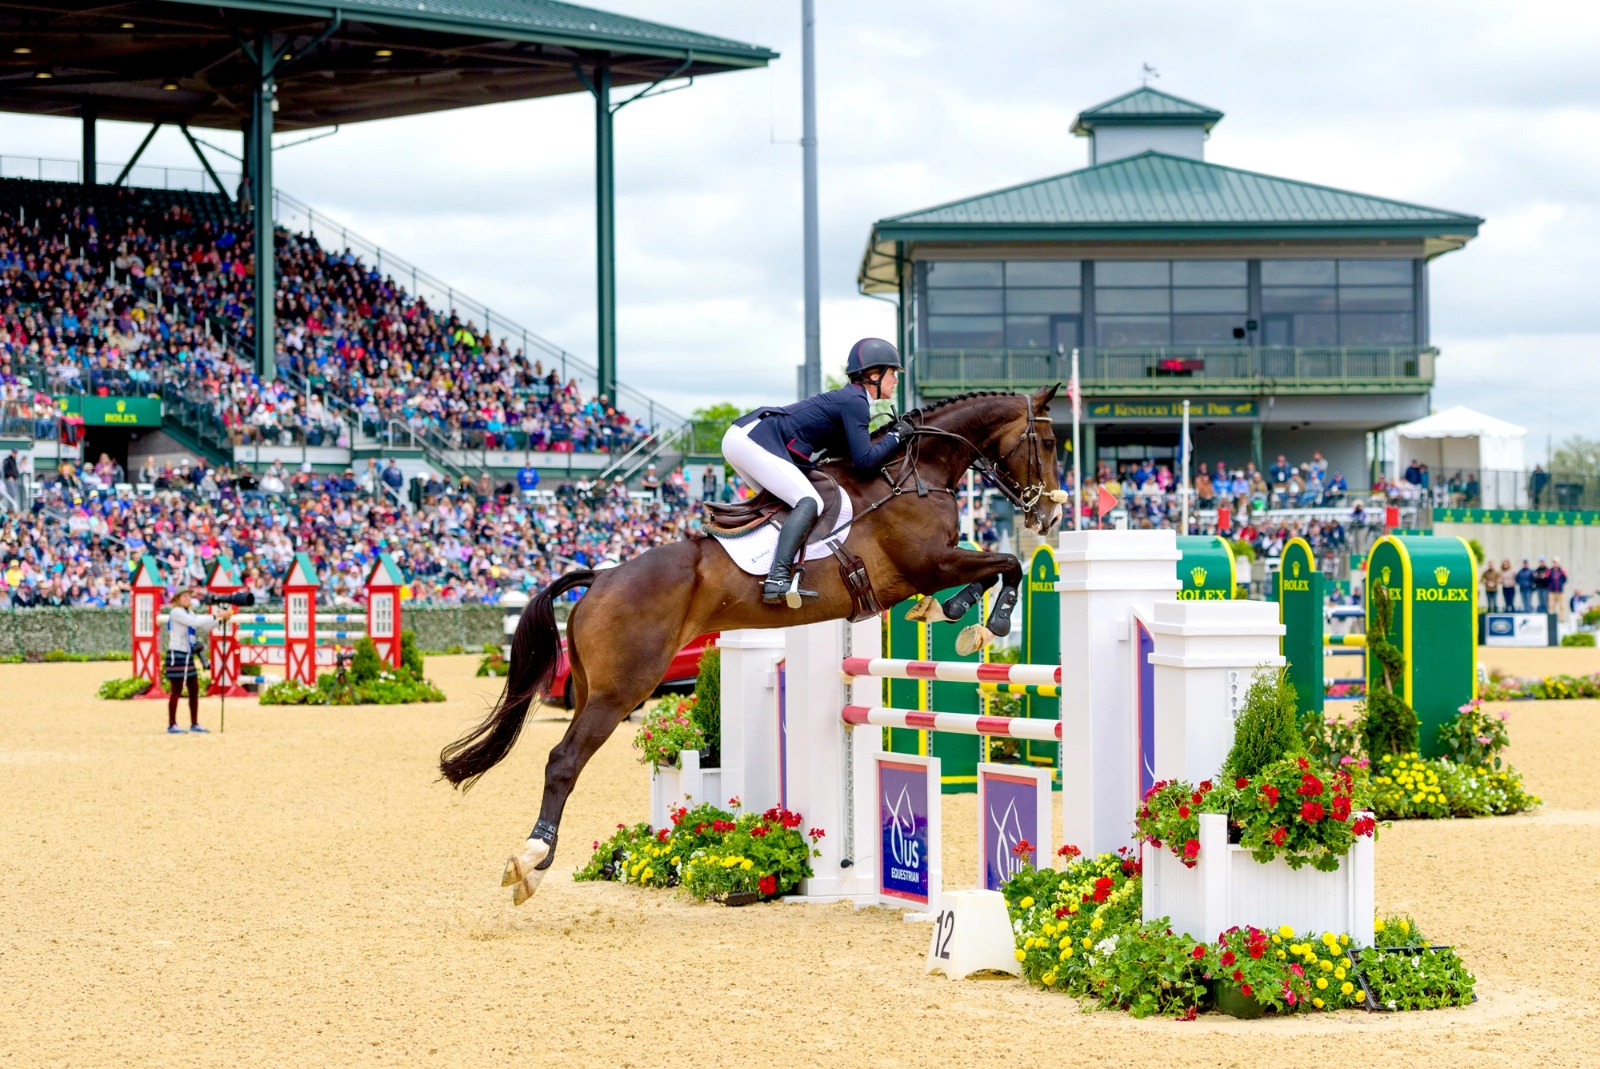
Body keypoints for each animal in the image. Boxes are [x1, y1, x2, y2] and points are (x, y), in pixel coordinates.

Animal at [438, 385, 1062, 902]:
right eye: (1052, 441)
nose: (1051, 516)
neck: (915, 472)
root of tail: (604, 576)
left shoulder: (928, 569)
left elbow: (991, 569)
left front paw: (955, 614)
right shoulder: (926, 562)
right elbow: (1006, 564)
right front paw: (986, 621)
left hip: (594, 686)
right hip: (622, 690)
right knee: (564, 760)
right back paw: (530, 859)